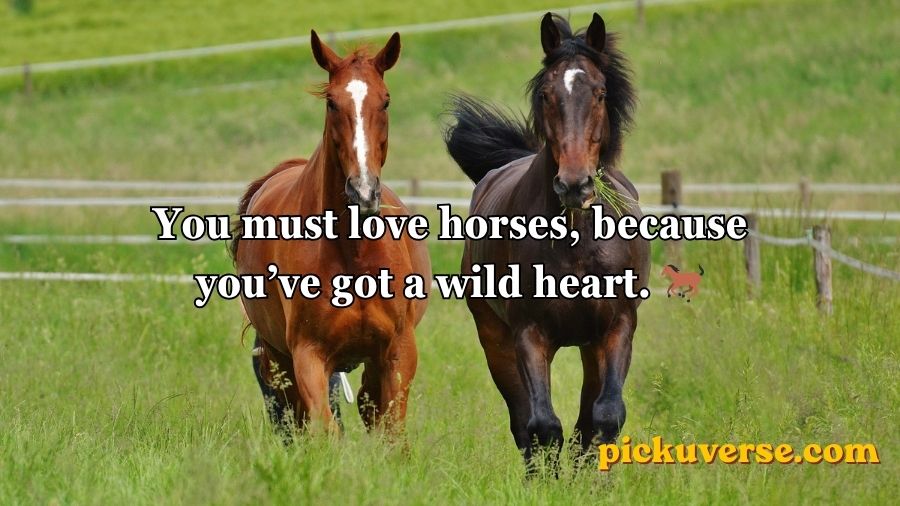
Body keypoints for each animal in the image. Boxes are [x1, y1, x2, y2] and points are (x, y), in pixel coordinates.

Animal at [232, 30, 431, 435]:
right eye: (331, 103)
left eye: (386, 100)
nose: (363, 191)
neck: (353, 253)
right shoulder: (308, 355)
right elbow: (325, 429)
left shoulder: (398, 352)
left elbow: (391, 432)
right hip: (280, 357)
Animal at [443, 13, 649, 469]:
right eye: (546, 93)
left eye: (600, 92)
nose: (574, 184)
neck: (575, 243)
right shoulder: (529, 334)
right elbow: (542, 425)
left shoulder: (617, 326)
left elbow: (604, 417)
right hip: (495, 340)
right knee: (524, 422)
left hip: (590, 346)